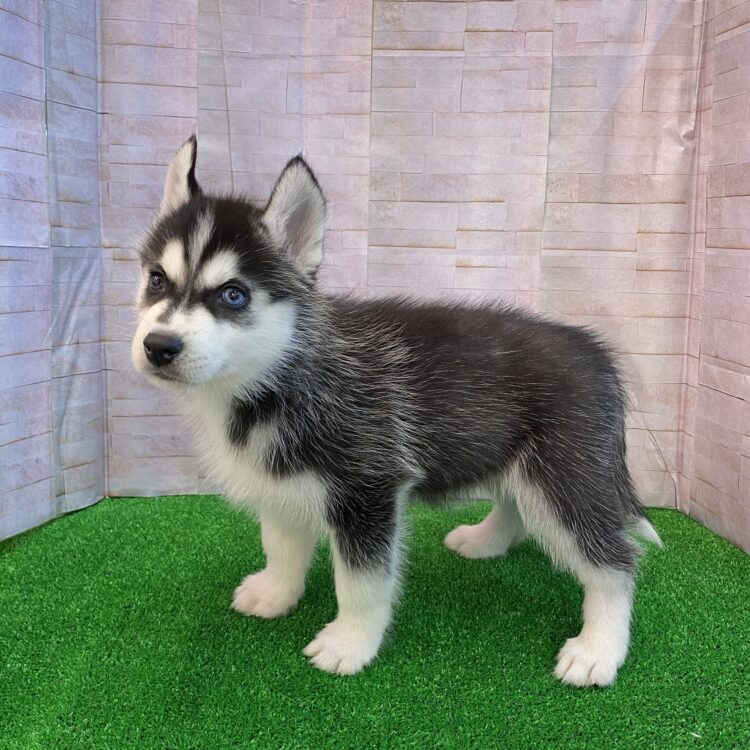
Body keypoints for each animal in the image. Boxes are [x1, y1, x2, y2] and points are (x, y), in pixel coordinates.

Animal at [131, 136, 661, 686]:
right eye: (156, 280)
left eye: (233, 295)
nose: (159, 346)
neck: (278, 374)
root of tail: (596, 353)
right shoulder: (279, 480)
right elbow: (281, 544)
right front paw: (275, 593)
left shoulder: (368, 490)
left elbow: (359, 583)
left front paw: (349, 643)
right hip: (516, 458)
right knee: (516, 505)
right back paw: (484, 540)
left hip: (563, 476)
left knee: (616, 562)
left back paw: (598, 649)